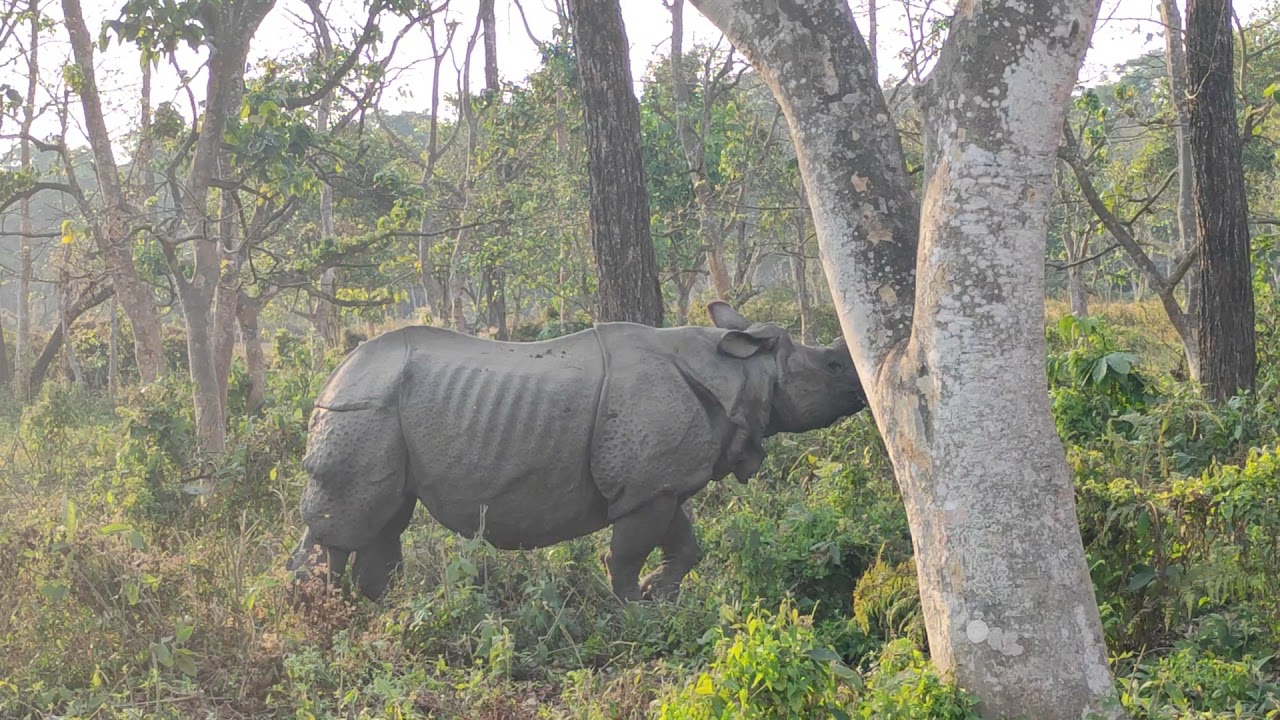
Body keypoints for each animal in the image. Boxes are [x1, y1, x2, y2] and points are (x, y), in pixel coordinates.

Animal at [286, 302, 867, 602]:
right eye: (833, 367)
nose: (862, 390)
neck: (738, 368)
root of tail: (334, 376)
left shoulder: (658, 486)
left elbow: (684, 546)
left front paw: (658, 595)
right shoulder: (646, 488)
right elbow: (625, 555)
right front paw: (636, 615)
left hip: (379, 411)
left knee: (384, 524)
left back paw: (374, 612)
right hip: (364, 411)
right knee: (345, 526)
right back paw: (318, 617)